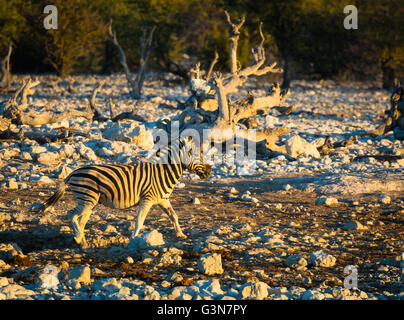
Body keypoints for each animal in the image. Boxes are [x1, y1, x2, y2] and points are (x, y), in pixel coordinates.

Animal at [35, 136, 211, 249]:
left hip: (88, 201)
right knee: (71, 214)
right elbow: (140, 221)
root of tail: (72, 172)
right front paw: (133, 239)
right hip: (86, 199)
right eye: (193, 154)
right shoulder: (147, 199)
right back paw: (78, 238)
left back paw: (83, 243)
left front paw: (181, 234)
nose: (209, 171)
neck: (163, 173)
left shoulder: (163, 200)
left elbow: (174, 216)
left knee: (81, 220)